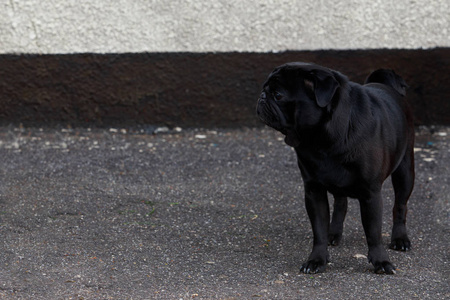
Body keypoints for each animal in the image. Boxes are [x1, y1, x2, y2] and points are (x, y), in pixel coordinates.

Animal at [256, 63, 414, 274]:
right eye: (265, 90)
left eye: (278, 95)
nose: (262, 96)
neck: (321, 139)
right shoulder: (314, 192)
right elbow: (319, 230)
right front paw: (317, 259)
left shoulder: (371, 194)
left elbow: (373, 233)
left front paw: (381, 261)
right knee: (341, 203)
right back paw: (334, 233)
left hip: (405, 172)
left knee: (400, 205)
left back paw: (400, 239)